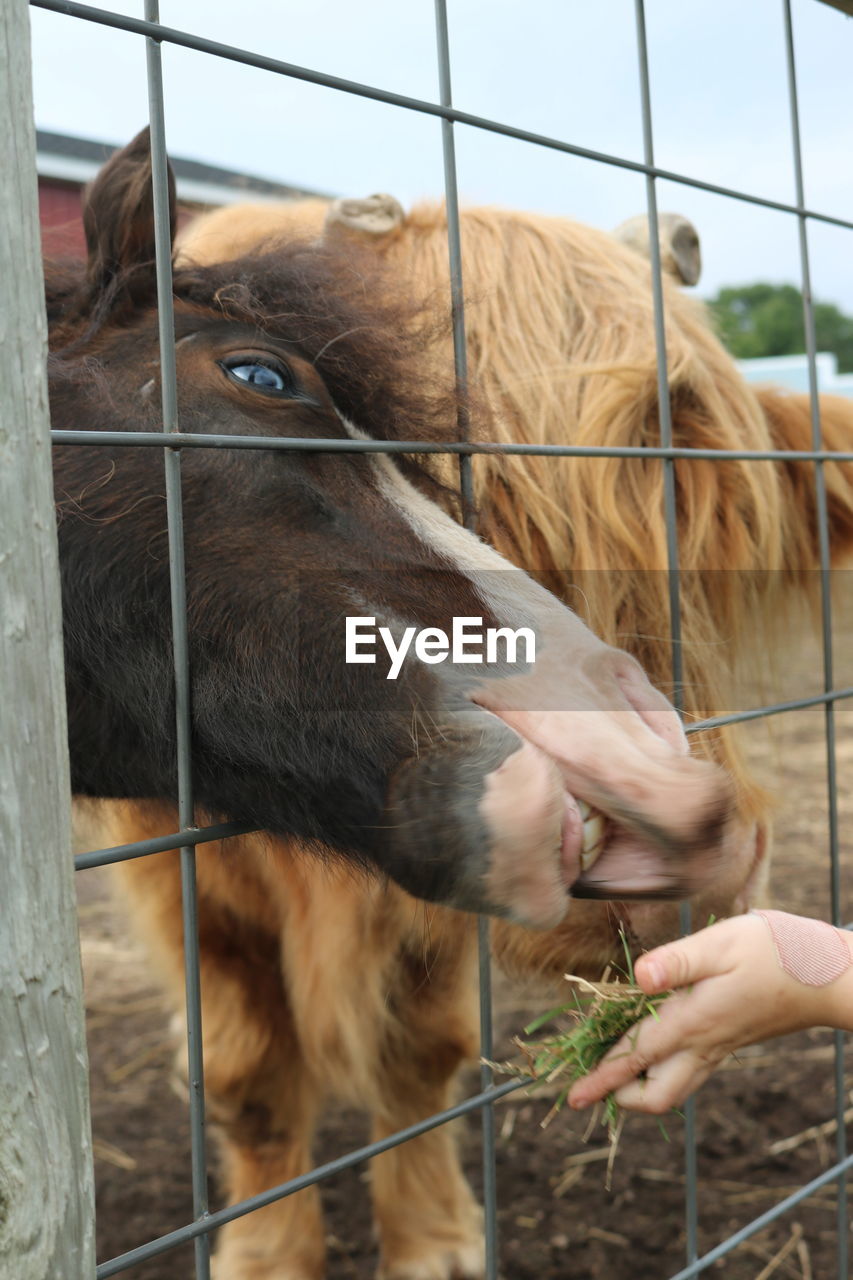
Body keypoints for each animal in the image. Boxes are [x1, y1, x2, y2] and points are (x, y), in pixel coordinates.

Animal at [73, 154, 845, 1274]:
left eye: (694, 510)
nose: (679, 829)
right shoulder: (185, 873)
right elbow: (248, 1066)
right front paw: (264, 1249)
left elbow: (417, 1048)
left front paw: (433, 1238)